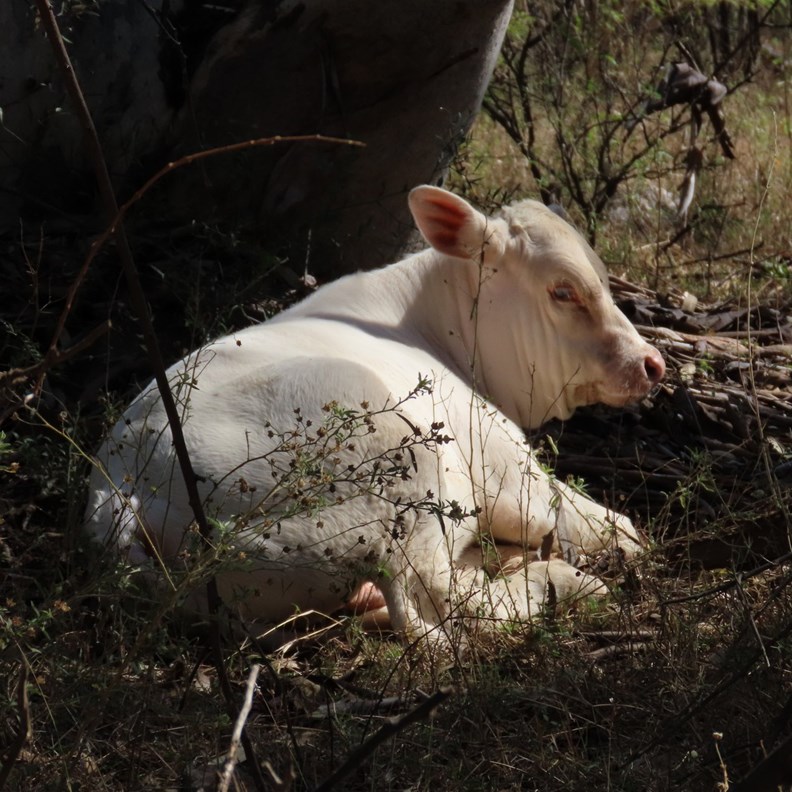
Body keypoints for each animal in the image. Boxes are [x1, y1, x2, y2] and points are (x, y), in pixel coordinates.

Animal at [84, 186, 665, 644]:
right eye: (563, 290)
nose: (651, 362)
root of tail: (119, 486)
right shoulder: (507, 468)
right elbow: (595, 520)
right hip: (401, 476)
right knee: (439, 608)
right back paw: (562, 581)